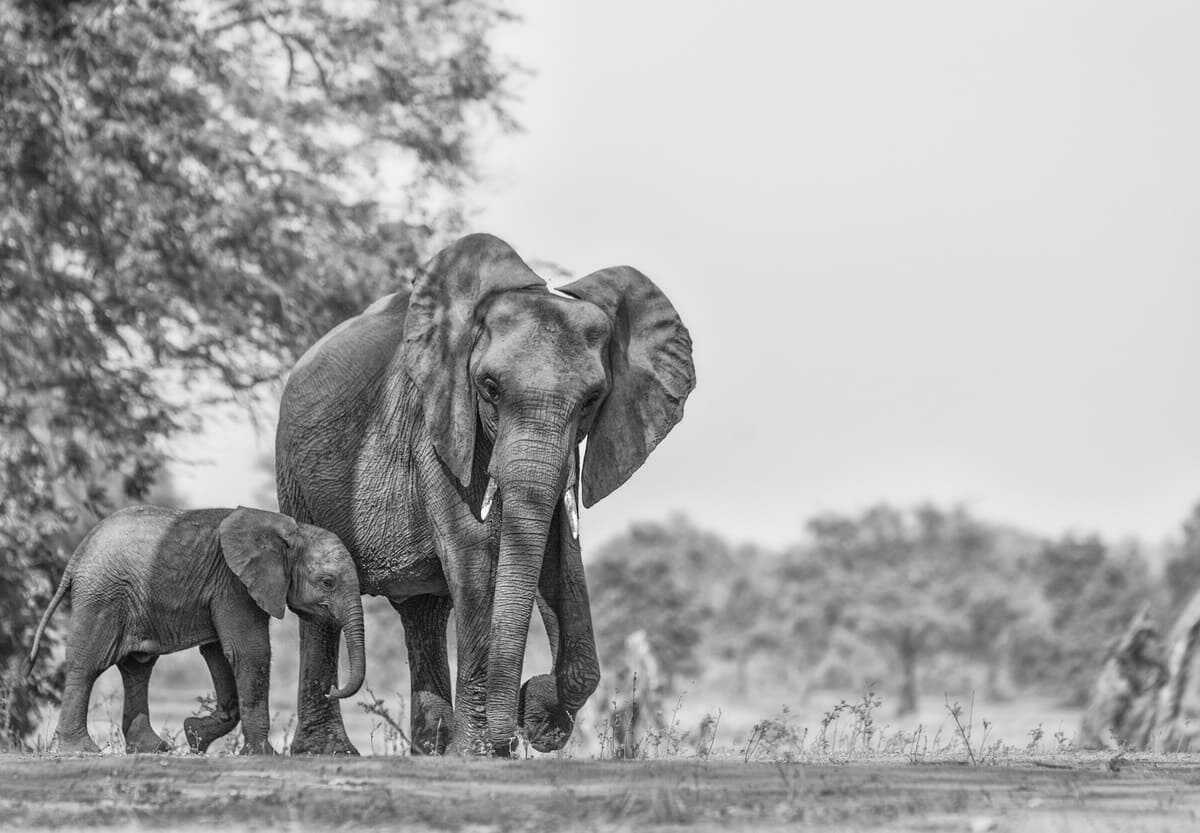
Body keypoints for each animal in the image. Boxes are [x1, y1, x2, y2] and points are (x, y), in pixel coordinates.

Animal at [27, 508, 364, 758]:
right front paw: (262, 754)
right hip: (103, 595)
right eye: (327, 582)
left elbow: (219, 653)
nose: (331, 689)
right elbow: (249, 651)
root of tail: (78, 553)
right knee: (89, 664)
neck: (292, 530)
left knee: (137, 666)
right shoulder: (234, 583)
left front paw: (194, 736)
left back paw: (154, 749)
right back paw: (80, 750)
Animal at [276, 232, 696, 758]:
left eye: (592, 401)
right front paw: (485, 747)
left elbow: (561, 562)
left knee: (424, 612)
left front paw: (537, 717)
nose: (515, 732)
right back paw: (330, 751)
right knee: (320, 604)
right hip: (294, 474)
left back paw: (430, 749)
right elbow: (475, 554)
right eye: (490, 388)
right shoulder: (440, 423)